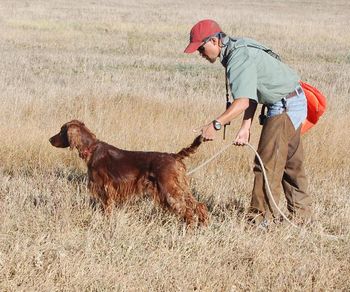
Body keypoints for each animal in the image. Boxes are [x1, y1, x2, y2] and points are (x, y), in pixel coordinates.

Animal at [49, 120, 208, 227]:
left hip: (169, 190)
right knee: (199, 206)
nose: (50, 139)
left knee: (188, 212)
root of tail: (174, 156)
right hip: (179, 188)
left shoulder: (105, 190)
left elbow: (107, 210)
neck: (92, 149)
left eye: (61, 130)